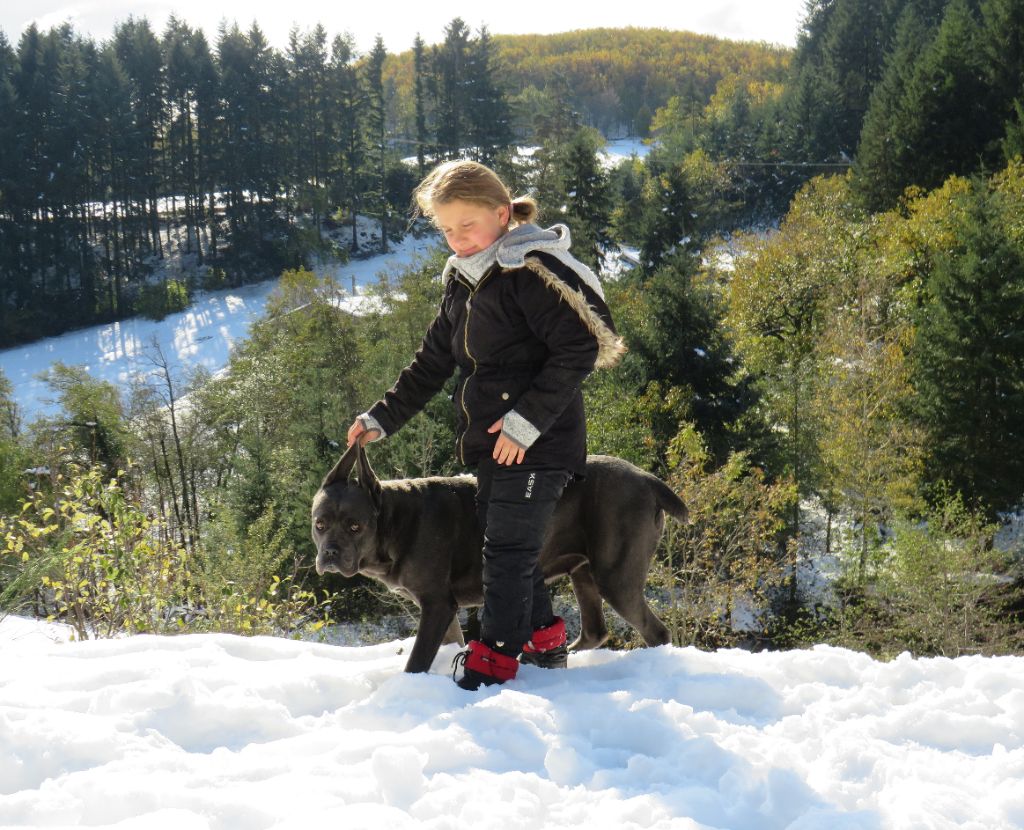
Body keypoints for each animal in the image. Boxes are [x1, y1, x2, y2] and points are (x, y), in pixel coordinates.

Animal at [307, 444, 684, 671]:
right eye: (320, 524)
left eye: (355, 526)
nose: (330, 553)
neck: (393, 521)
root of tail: (649, 480)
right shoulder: (443, 608)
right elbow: (450, 640)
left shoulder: (437, 603)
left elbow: (418, 658)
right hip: (583, 571)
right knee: (595, 629)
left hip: (615, 574)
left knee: (655, 630)